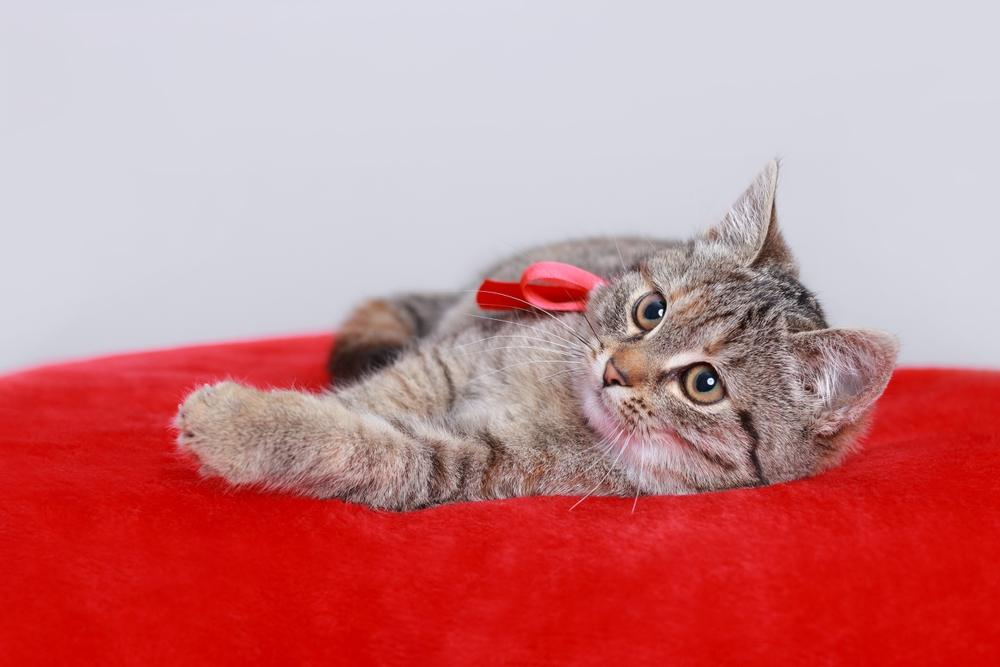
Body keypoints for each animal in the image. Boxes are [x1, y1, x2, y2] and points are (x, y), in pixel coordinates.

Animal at [174, 162, 900, 512]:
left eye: (704, 384)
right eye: (652, 310)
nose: (615, 369)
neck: (563, 394)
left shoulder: (468, 461)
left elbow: (362, 443)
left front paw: (236, 423)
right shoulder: (450, 357)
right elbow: (374, 397)